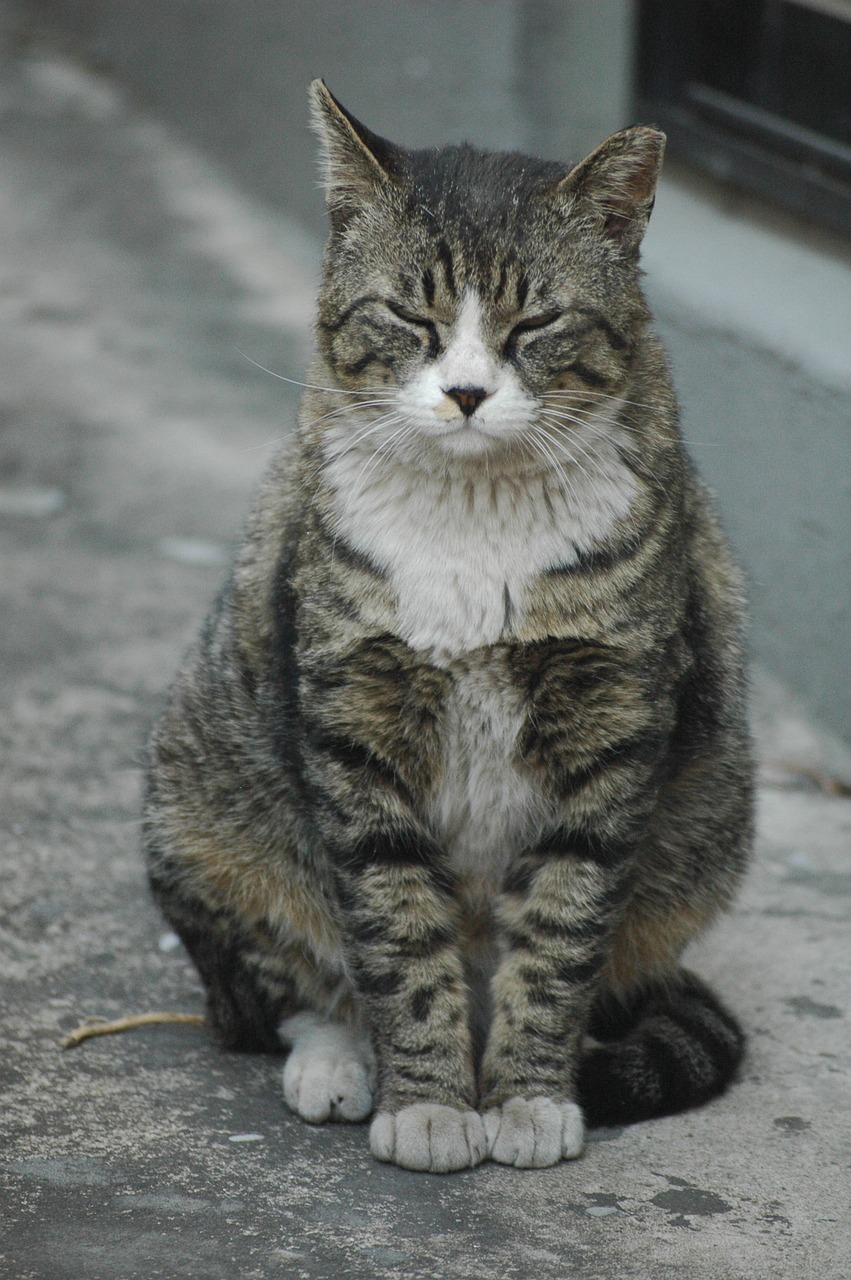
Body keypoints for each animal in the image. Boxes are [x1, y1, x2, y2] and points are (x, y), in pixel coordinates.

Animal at [142, 82, 752, 1172]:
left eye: (536, 320)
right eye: (408, 314)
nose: (466, 392)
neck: (475, 519)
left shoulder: (611, 725)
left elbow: (558, 935)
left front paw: (526, 1097)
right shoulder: (353, 714)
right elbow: (393, 926)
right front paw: (426, 1102)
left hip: (706, 836)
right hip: (204, 809)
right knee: (280, 984)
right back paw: (338, 1059)